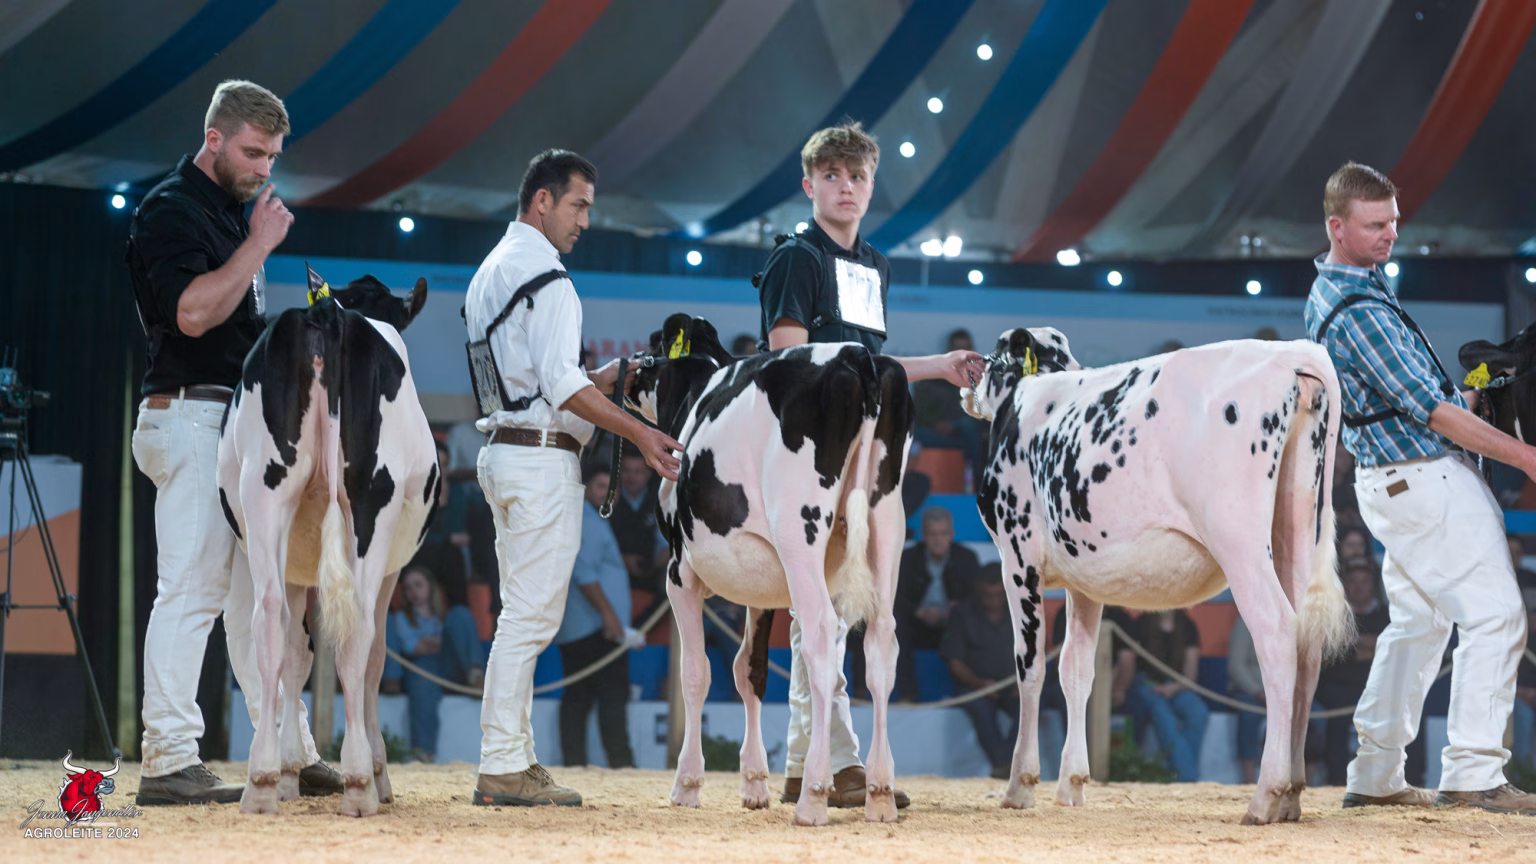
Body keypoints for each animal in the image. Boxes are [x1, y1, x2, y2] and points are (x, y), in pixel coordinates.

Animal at [217, 270, 437, 816]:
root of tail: (326, 313)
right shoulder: (392, 571)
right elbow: (376, 658)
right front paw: (379, 772)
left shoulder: (296, 565)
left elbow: (297, 654)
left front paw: (289, 773)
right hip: (371, 500)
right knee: (357, 632)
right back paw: (359, 783)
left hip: (264, 490)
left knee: (268, 617)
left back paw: (260, 782)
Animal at [625, 313, 912, 826]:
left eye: (654, 344)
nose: (626, 371)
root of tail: (855, 355)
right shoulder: (763, 584)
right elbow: (750, 670)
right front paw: (754, 784)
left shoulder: (679, 573)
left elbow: (696, 672)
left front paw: (688, 783)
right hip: (887, 525)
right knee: (881, 642)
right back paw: (879, 795)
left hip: (800, 530)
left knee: (820, 637)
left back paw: (814, 795)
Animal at [962, 327, 1353, 825]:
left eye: (994, 355)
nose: (969, 374)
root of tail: (1287, 352)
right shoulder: (1084, 578)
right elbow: (1076, 668)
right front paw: (1071, 784)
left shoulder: (1017, 555)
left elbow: (1029, 666)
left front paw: (1020, 785)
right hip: (1297, 529)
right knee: (1308, 645)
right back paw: (1293, 796)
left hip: (1238, 540)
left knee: (1277, 632)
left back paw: (1266, 795)